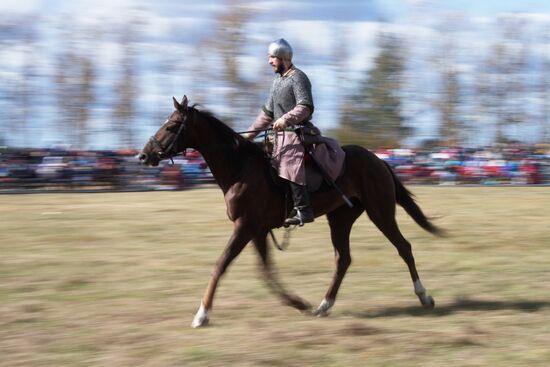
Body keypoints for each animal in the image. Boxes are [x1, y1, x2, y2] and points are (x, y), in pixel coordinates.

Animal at [139, 96, 444, 330]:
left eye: (171, 125)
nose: (143, 155)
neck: (240, 168)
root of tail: (378, 160)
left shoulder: (245, 227)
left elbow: (221, 265)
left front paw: (202, 315)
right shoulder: (257, 230)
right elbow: (266, 272)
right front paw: (299, 303)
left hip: (380, 212)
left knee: (403, 247)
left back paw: (425, 297)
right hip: (341, 218)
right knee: (343, 259)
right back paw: (323, 305)